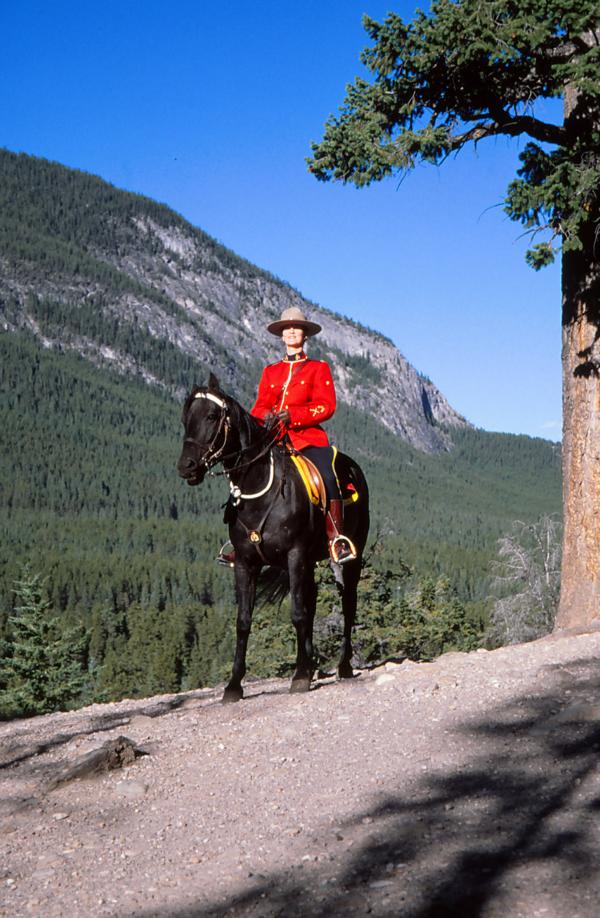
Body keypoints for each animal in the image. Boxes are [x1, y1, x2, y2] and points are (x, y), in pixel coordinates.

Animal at [176, 374, 368, 704]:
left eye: (212, 416)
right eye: (186, 417)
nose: (186, 466)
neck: (258, 490)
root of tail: (354, 468)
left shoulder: (294, 554)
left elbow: (297, 614)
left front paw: (300, 676)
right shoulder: (246, 563)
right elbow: (243, 622)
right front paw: (234, 685)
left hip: (347, 558)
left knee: (347, 604)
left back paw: (342, 666)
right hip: (310, 562)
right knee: (312, 601)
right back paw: (313, 663)